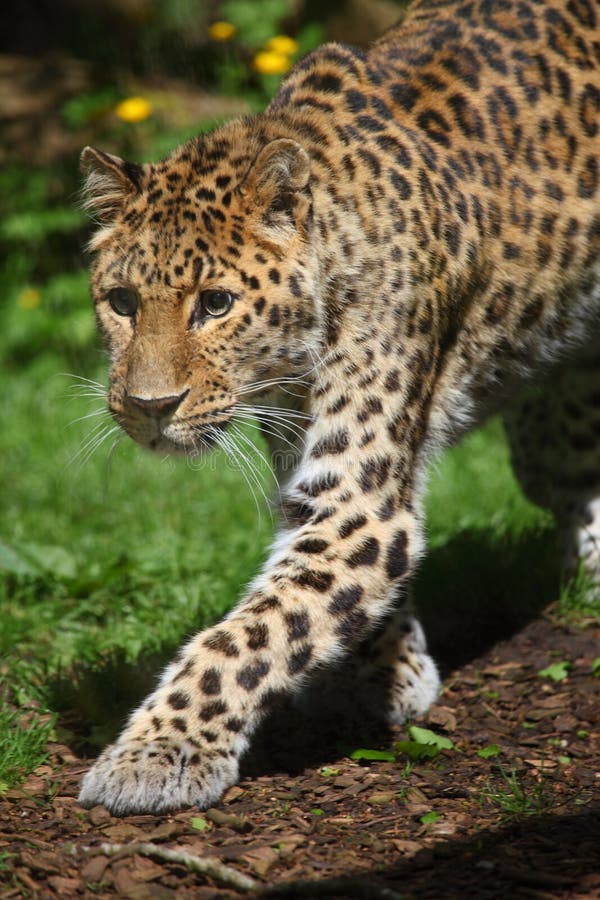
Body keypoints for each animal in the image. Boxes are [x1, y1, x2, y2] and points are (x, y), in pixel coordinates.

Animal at [77, 0, 600, 815]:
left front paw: (153, 754)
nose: (148, 406)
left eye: (215, 304)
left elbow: (242, 639)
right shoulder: (319, 478)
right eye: (122, 302)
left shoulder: (357, 500)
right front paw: (387, 671)